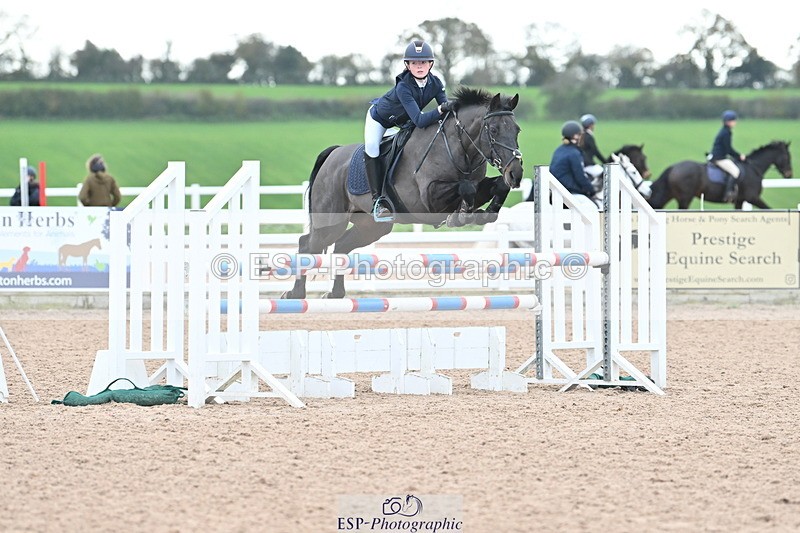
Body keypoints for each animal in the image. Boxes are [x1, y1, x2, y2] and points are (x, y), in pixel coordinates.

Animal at [281, 87, 524, 299]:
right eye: (494, 130)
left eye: (517, 130)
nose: (516, 174)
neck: (459, 149)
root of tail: (333, 154)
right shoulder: (429, 199)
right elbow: (466, 187)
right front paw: (462, 214)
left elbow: (493, 186)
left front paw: (485, 212)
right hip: (330, 222)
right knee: (307, 244)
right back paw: (294, 293)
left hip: (372, 226)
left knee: (341, 246)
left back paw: (335, 293)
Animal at [648, 141, 793, 209]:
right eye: (787, 156)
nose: (789, 174)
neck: (754, 168)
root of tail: (673, 167)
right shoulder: (753, 198)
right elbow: (769, 209)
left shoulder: (740, 201)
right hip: (685, 198)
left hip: (670, 194)